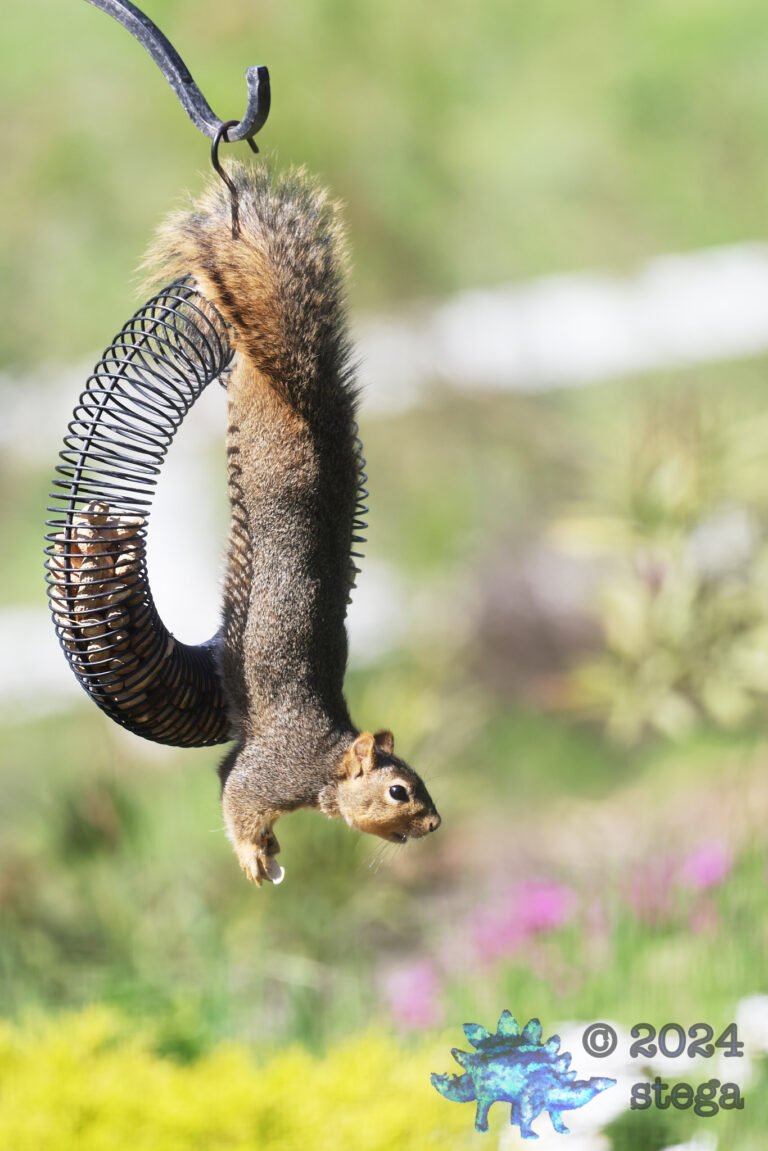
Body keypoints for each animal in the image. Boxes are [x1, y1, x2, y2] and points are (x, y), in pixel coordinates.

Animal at [147, 162, 441, 885]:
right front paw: (256, 857)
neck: (327, 765)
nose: (434, 824)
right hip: (272, 454)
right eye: (399, 790)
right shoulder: (267, 770)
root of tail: (306, 398)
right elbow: (236, 797)